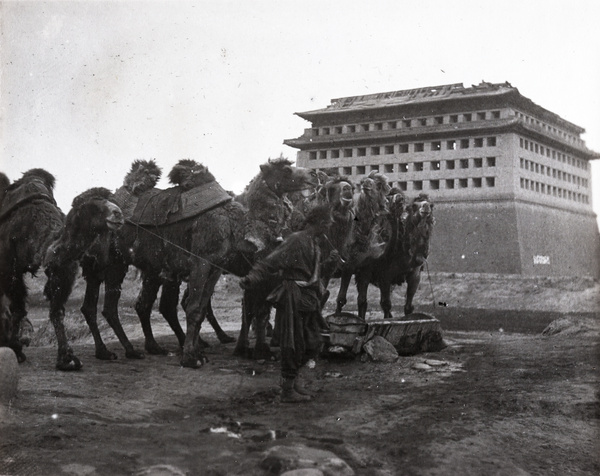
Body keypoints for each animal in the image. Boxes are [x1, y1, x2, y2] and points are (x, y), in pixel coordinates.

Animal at [0, 169, 123, 370]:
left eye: (111, 199)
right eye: (95, 204)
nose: (118, 214)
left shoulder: (63, 269)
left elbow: (56, 310)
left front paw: (66, 359)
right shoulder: (8, 268)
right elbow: (17, 308)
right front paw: (16, 350)